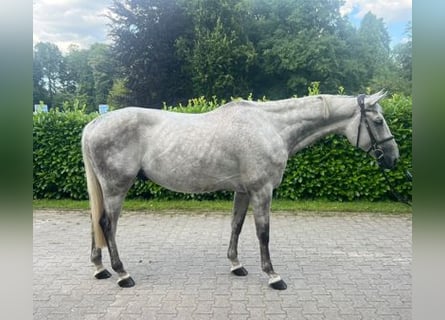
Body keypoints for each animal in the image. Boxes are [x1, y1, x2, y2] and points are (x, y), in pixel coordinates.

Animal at [81, 92, 398, 290]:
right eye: (378, 121)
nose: (393, 158)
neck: (271, 126)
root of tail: (95, 124)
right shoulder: (262, 190)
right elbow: (263, 232)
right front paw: (273, 276)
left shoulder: (243, 191)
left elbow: (236, 225)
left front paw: (236, 265)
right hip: (116, 188)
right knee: (107, 224)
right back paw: (122, 274)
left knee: (96, 223)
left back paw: (100, 269)